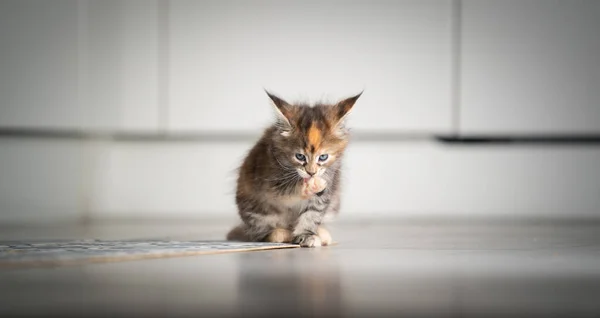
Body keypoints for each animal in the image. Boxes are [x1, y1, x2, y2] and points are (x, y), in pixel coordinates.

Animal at [227, 90, 360, 247]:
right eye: (300, 156)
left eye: (323, 157)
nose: (311, 172)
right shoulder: (269, 183)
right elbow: (288, 192)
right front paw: (308, 186)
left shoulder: (328, 184)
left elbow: (312, 214)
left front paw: (306, 235)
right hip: (254, 209)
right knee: (259, 234)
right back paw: (280, 233)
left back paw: (321, 232)